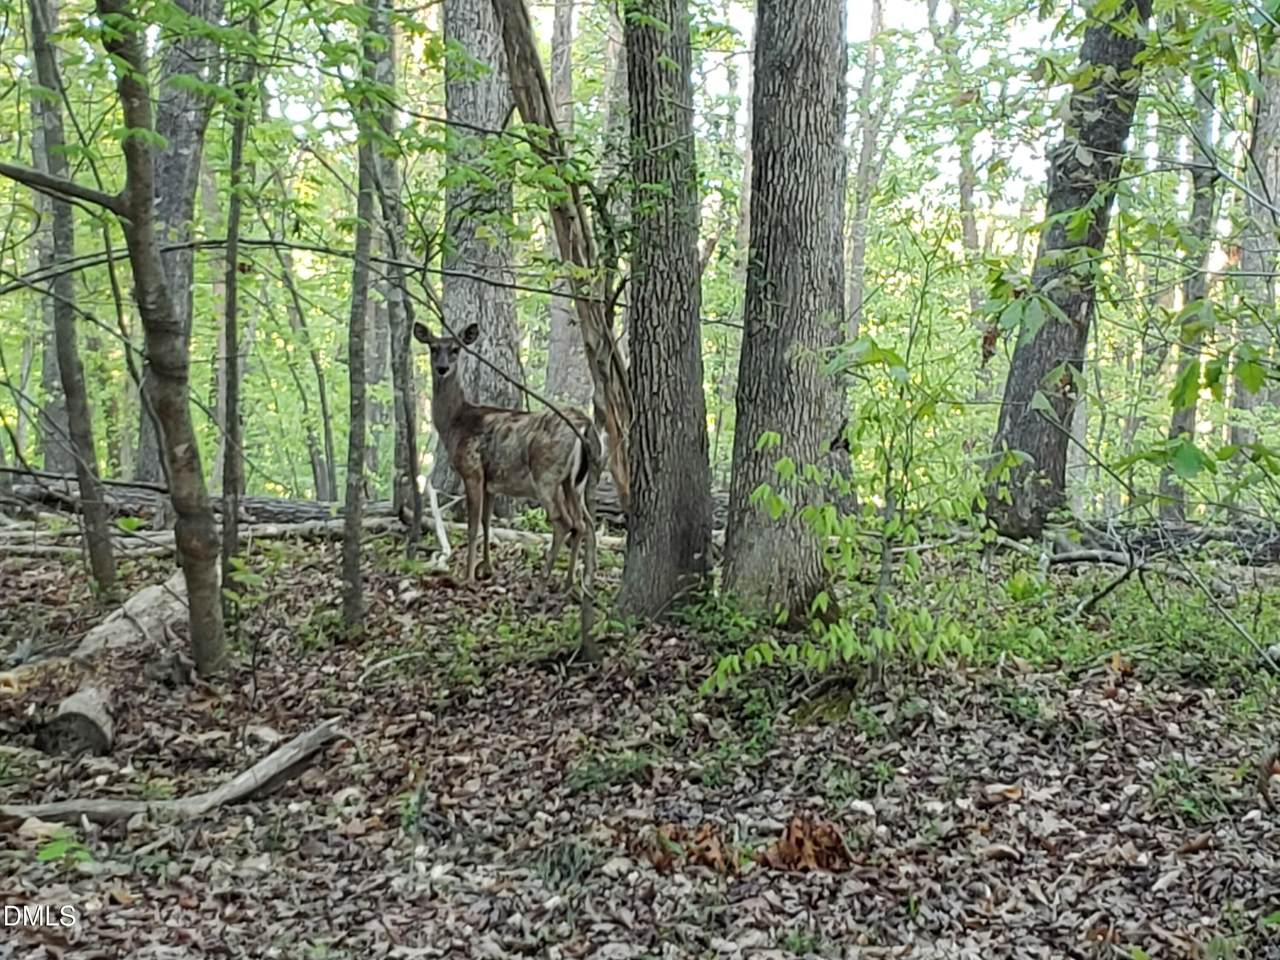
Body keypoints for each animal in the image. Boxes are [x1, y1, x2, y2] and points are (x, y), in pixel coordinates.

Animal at [414, 321, 602, 592]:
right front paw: (486, 569)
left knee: (563, 522)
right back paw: (568, 585)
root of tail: (585, 424)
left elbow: (472, 527)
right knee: (582, 523)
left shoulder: (472, 471)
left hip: (546, 474)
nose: (442, 368)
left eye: (455, 350)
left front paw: (468, 577)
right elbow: (486, 523)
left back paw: (543, 582)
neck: (456, 422)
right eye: (433, 347)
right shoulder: (491, 482)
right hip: (574, 483)